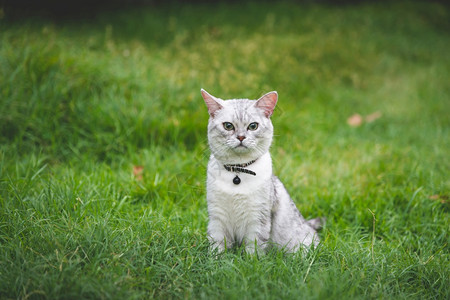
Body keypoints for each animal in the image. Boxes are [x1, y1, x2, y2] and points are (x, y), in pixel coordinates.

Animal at [201, 89, 324, 255]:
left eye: (253, 126)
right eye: (228, 126)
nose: (241, 137)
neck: (237, 172)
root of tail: (308, 225)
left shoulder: (258, 218)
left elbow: (254, 248)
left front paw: (251, 260)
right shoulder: (217, 218)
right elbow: (217, 245)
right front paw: (215, 259)